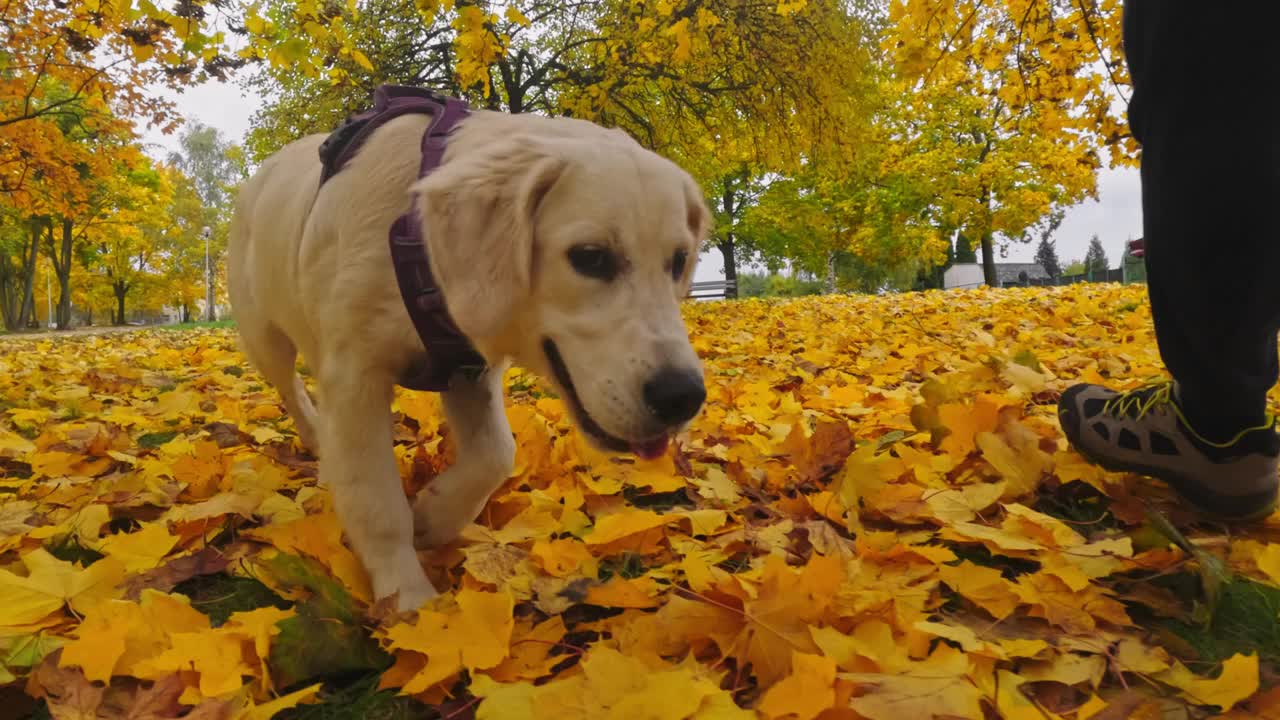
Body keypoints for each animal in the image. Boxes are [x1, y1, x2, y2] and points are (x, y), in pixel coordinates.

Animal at [227, 98, 711, 607]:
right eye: (591, 256)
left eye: (679, 261)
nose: (682, 397)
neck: (414, 236)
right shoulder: (355, 376)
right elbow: (377, 502)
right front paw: (410, 601)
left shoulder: (468, 368)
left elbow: (496, 454)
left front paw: (433, 516)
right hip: (264, 336)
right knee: (292, 390)